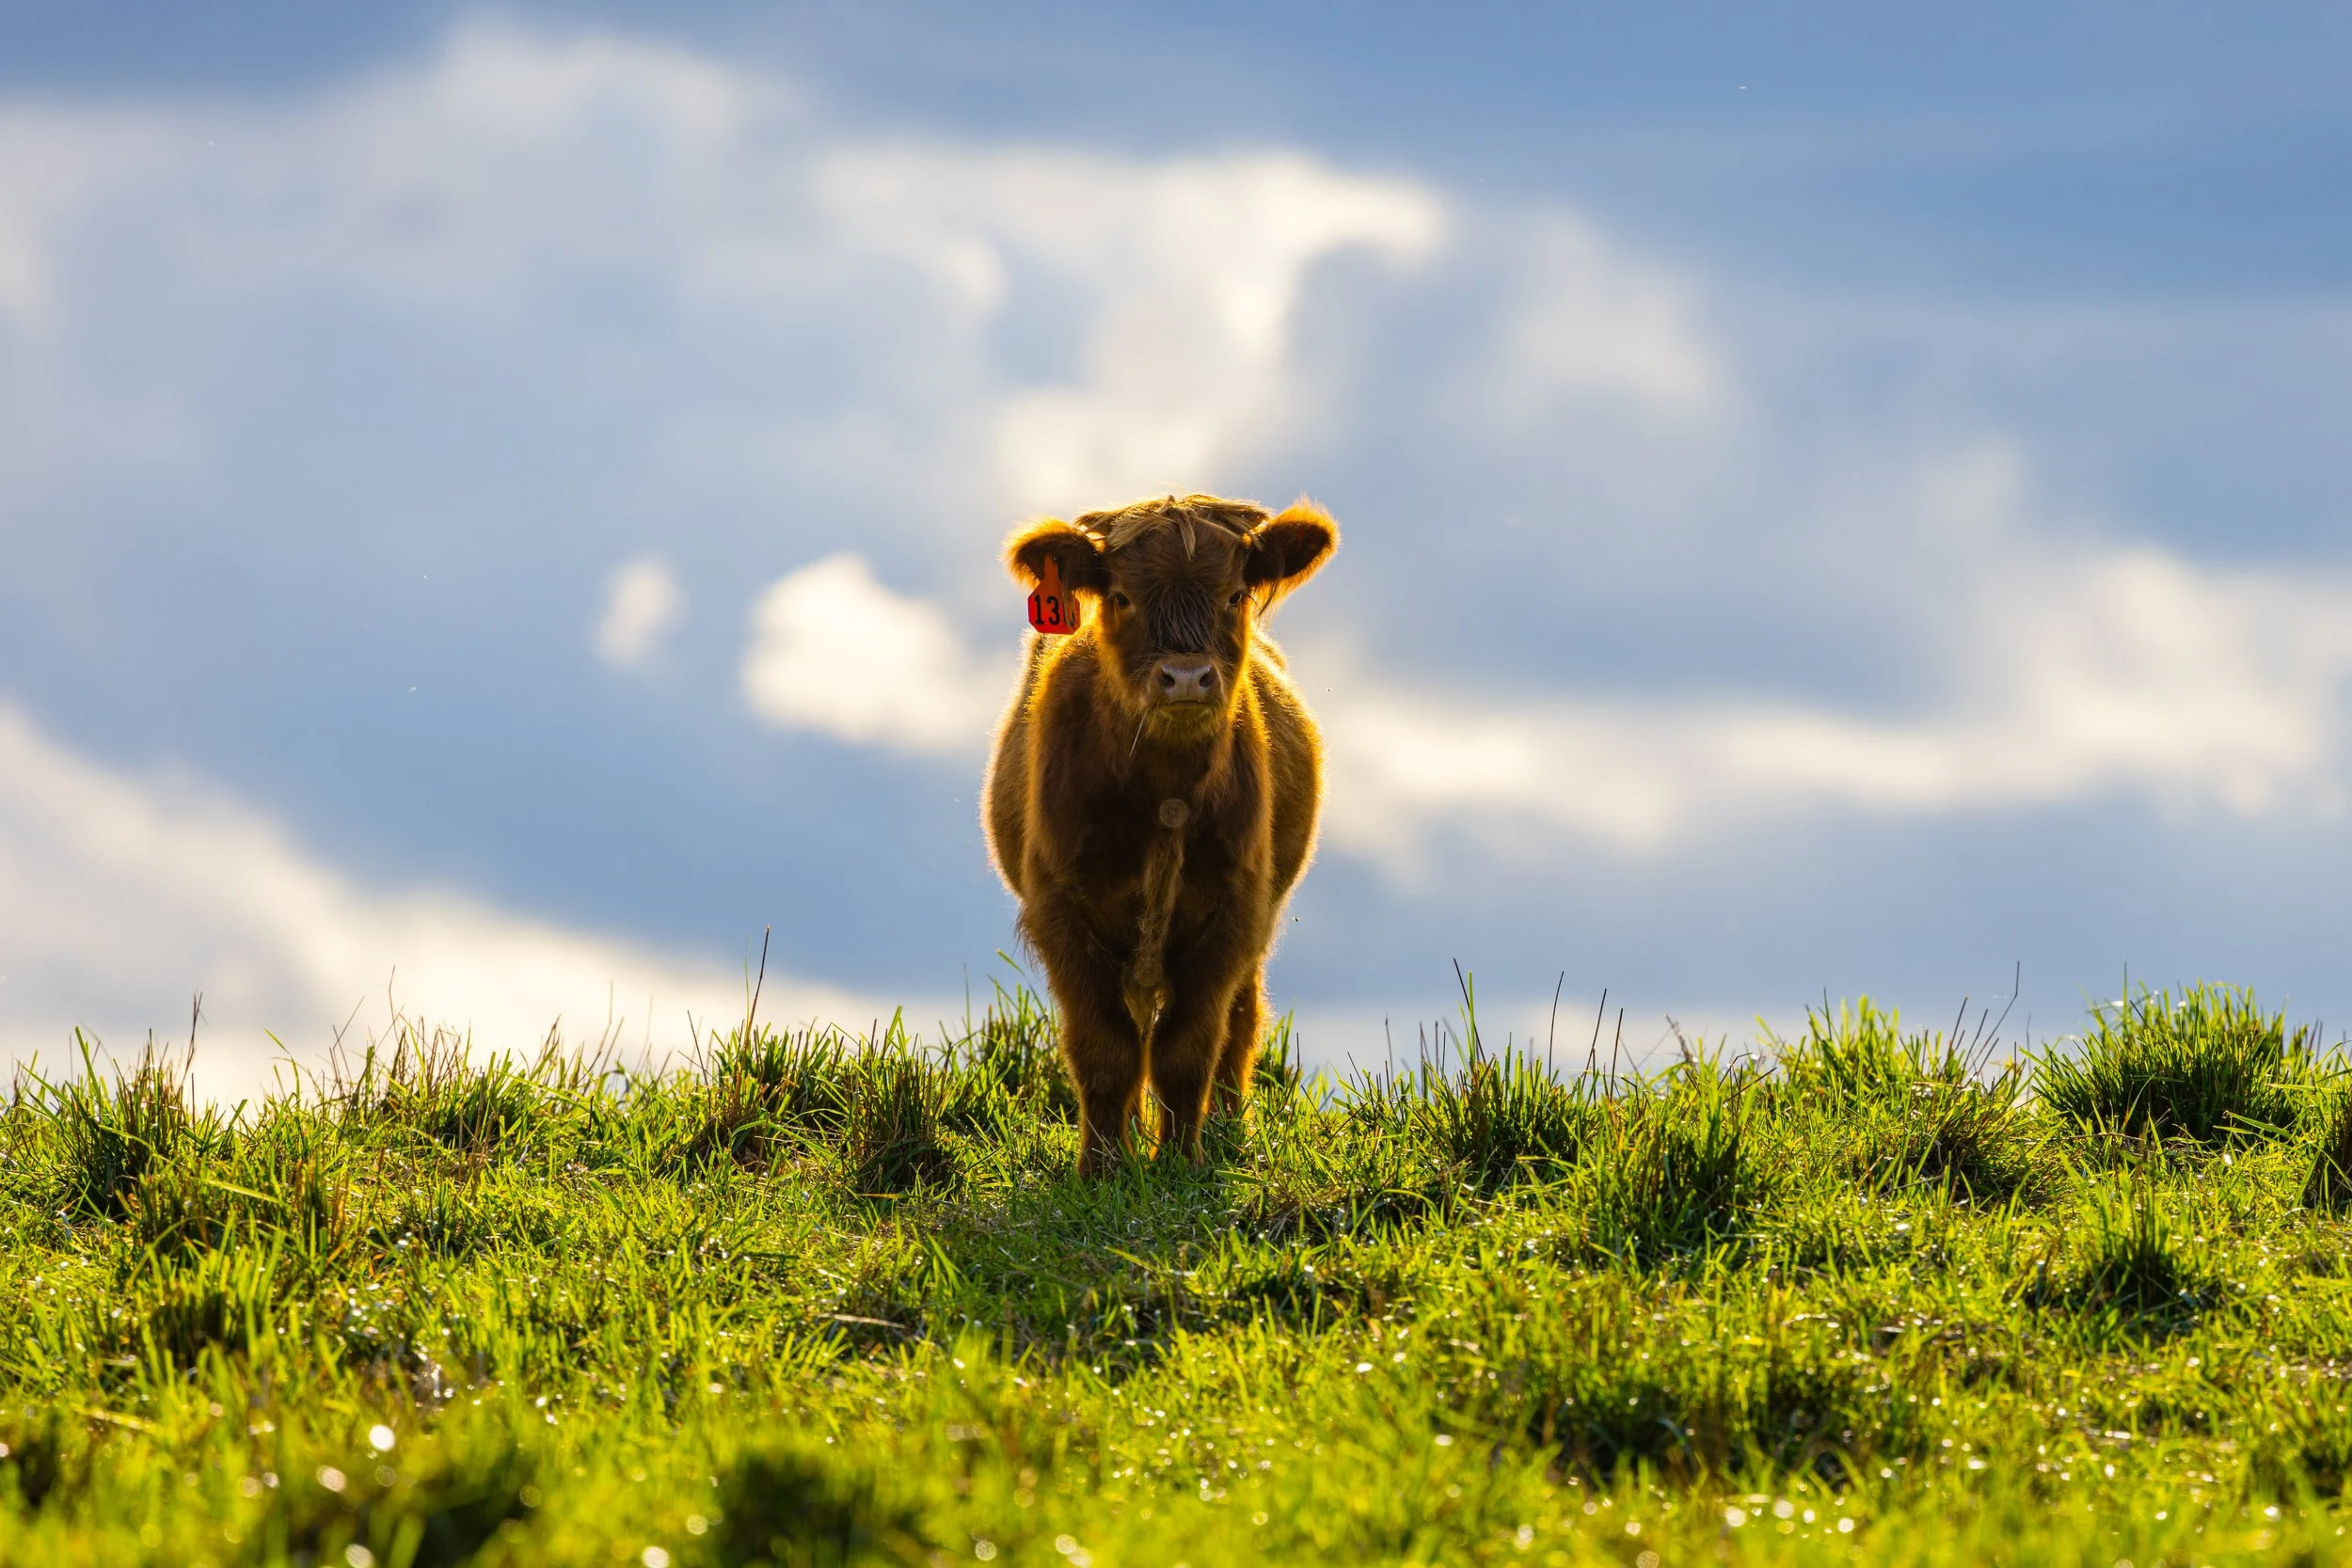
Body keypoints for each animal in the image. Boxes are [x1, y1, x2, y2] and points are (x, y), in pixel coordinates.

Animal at [984, 493, 1337, 1176]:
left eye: (1235, 594)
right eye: (1122, 596)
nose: (1186, 678)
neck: (1165, 792)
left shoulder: (1233, 911)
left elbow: (1188, 1047)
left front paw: (1180, 1161)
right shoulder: (1059, 909)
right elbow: (1105, 1047)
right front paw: (1101, 1167)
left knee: (1241, 1021)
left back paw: (1226, 1130)